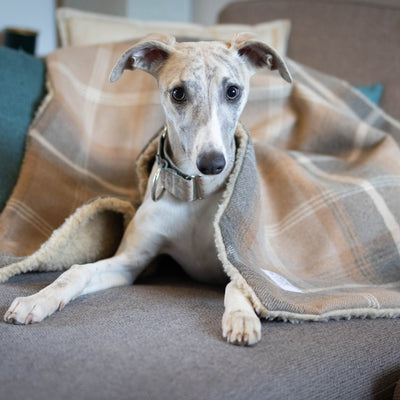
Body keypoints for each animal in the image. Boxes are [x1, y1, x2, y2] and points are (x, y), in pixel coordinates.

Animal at [2, 32, 290, 346]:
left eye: (233, 91)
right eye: (178, 93)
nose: (213, 164)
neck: (192, 196)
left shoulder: (237, 257)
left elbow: (241, 283)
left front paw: (241, 318)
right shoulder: (130, 263)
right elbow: (77, 271)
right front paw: (37, 300)